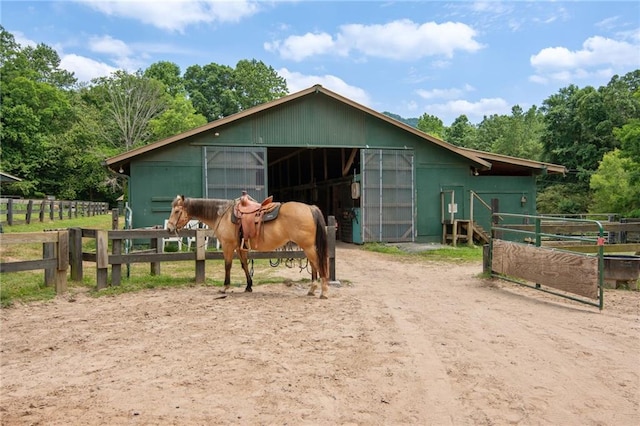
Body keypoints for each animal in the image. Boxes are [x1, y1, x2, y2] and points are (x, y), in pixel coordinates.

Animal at [165, 196, 330, 300]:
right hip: (308, 247)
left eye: (177, 211)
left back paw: (323, 292)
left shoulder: (228, 245)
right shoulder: (240, 248)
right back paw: (312, 289)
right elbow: (244, 265)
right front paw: (249, 286)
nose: (169, 228)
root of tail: (310, 208)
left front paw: (225, 287)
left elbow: (228, 265)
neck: (223, 214)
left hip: (308, 247)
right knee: (314, 265)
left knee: (319, 264)